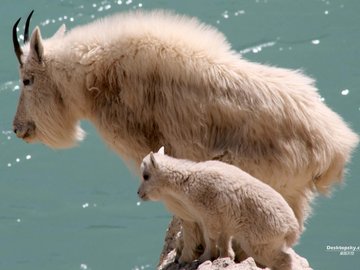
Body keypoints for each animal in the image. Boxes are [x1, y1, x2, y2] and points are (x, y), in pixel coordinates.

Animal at [138, 149, 298, 268]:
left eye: (146, 176)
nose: (139, 193)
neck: (185, 182)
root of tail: (292, 229)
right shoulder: (219, 219)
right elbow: (223, 240)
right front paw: (225, 257)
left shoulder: (209, 214)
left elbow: (210, 237)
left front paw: (205, 257)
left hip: (259, 241)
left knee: (284, 260)